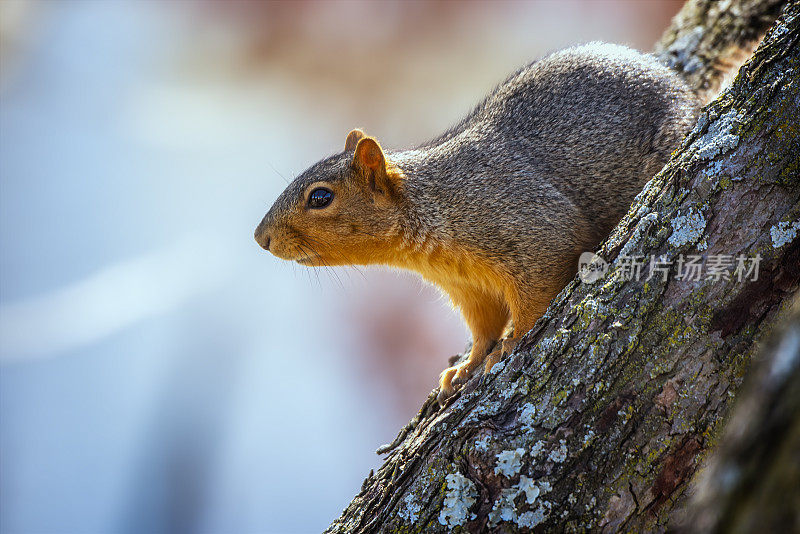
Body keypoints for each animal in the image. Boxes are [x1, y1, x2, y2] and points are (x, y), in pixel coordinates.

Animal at [253, 44, 696, 408]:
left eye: (320, 197)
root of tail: (686, 94)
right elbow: (483, 326)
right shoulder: (469, 289)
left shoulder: (534, 231)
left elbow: (536, 298)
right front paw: (466, 366)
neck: (432, 209)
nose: (261, 238)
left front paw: (510, 344)